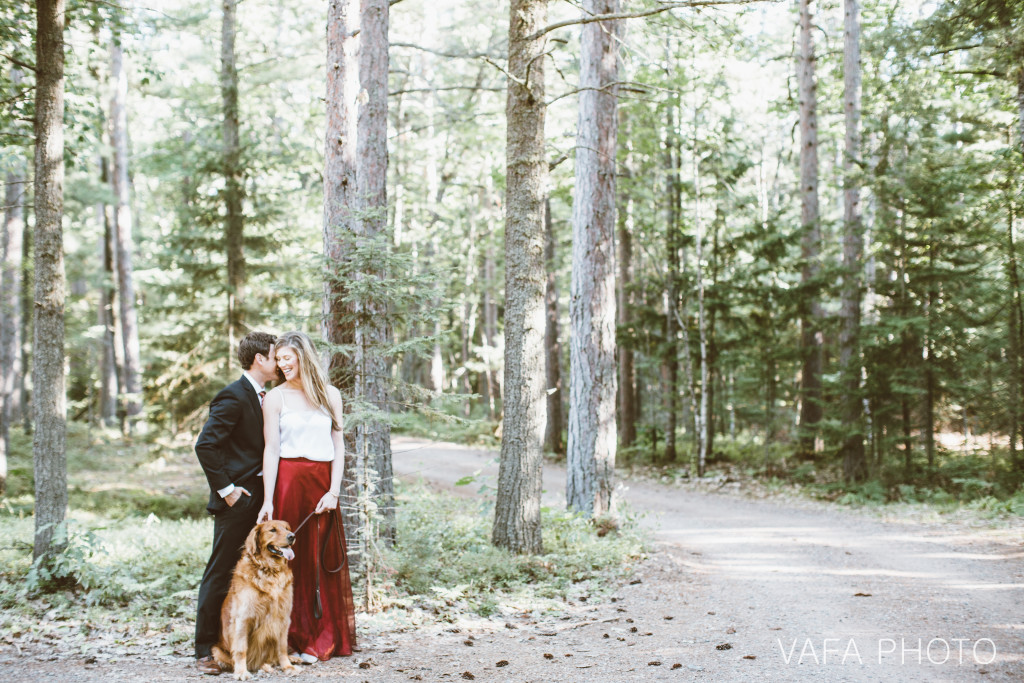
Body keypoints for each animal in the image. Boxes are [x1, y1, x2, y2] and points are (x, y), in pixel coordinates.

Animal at [210, 524, 296, 679]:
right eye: (272, 530)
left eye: (287, 528)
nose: (292, 536)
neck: (269, 570)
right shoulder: (243, 619)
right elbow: (241, 649)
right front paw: (241, 672)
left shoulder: (283, 617)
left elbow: (282, 648)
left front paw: (288, 667)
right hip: (217, 649)